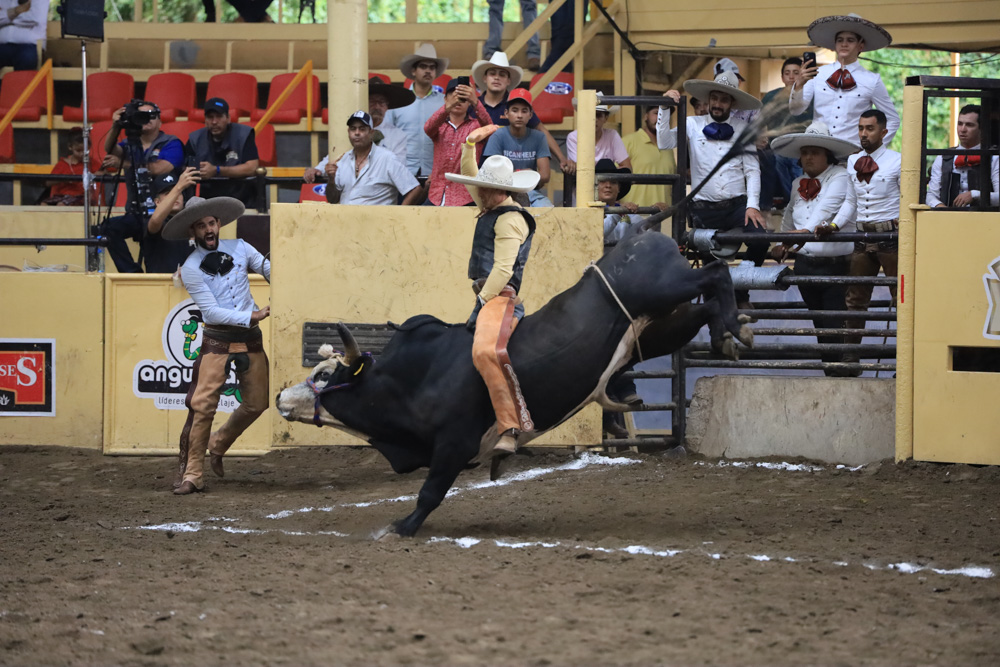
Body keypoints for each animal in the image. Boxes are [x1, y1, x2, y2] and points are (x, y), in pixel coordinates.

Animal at [274, 230, 752, 536]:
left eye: (323, 375)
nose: (280, 396)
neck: (413, 380)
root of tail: (649, 237)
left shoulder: (453, 444)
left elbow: (430, 492)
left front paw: (400, 527)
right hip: (658, 328)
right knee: (705, 304)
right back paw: (730, 333)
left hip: (665, 288)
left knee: (716, 271)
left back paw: (734, 326)